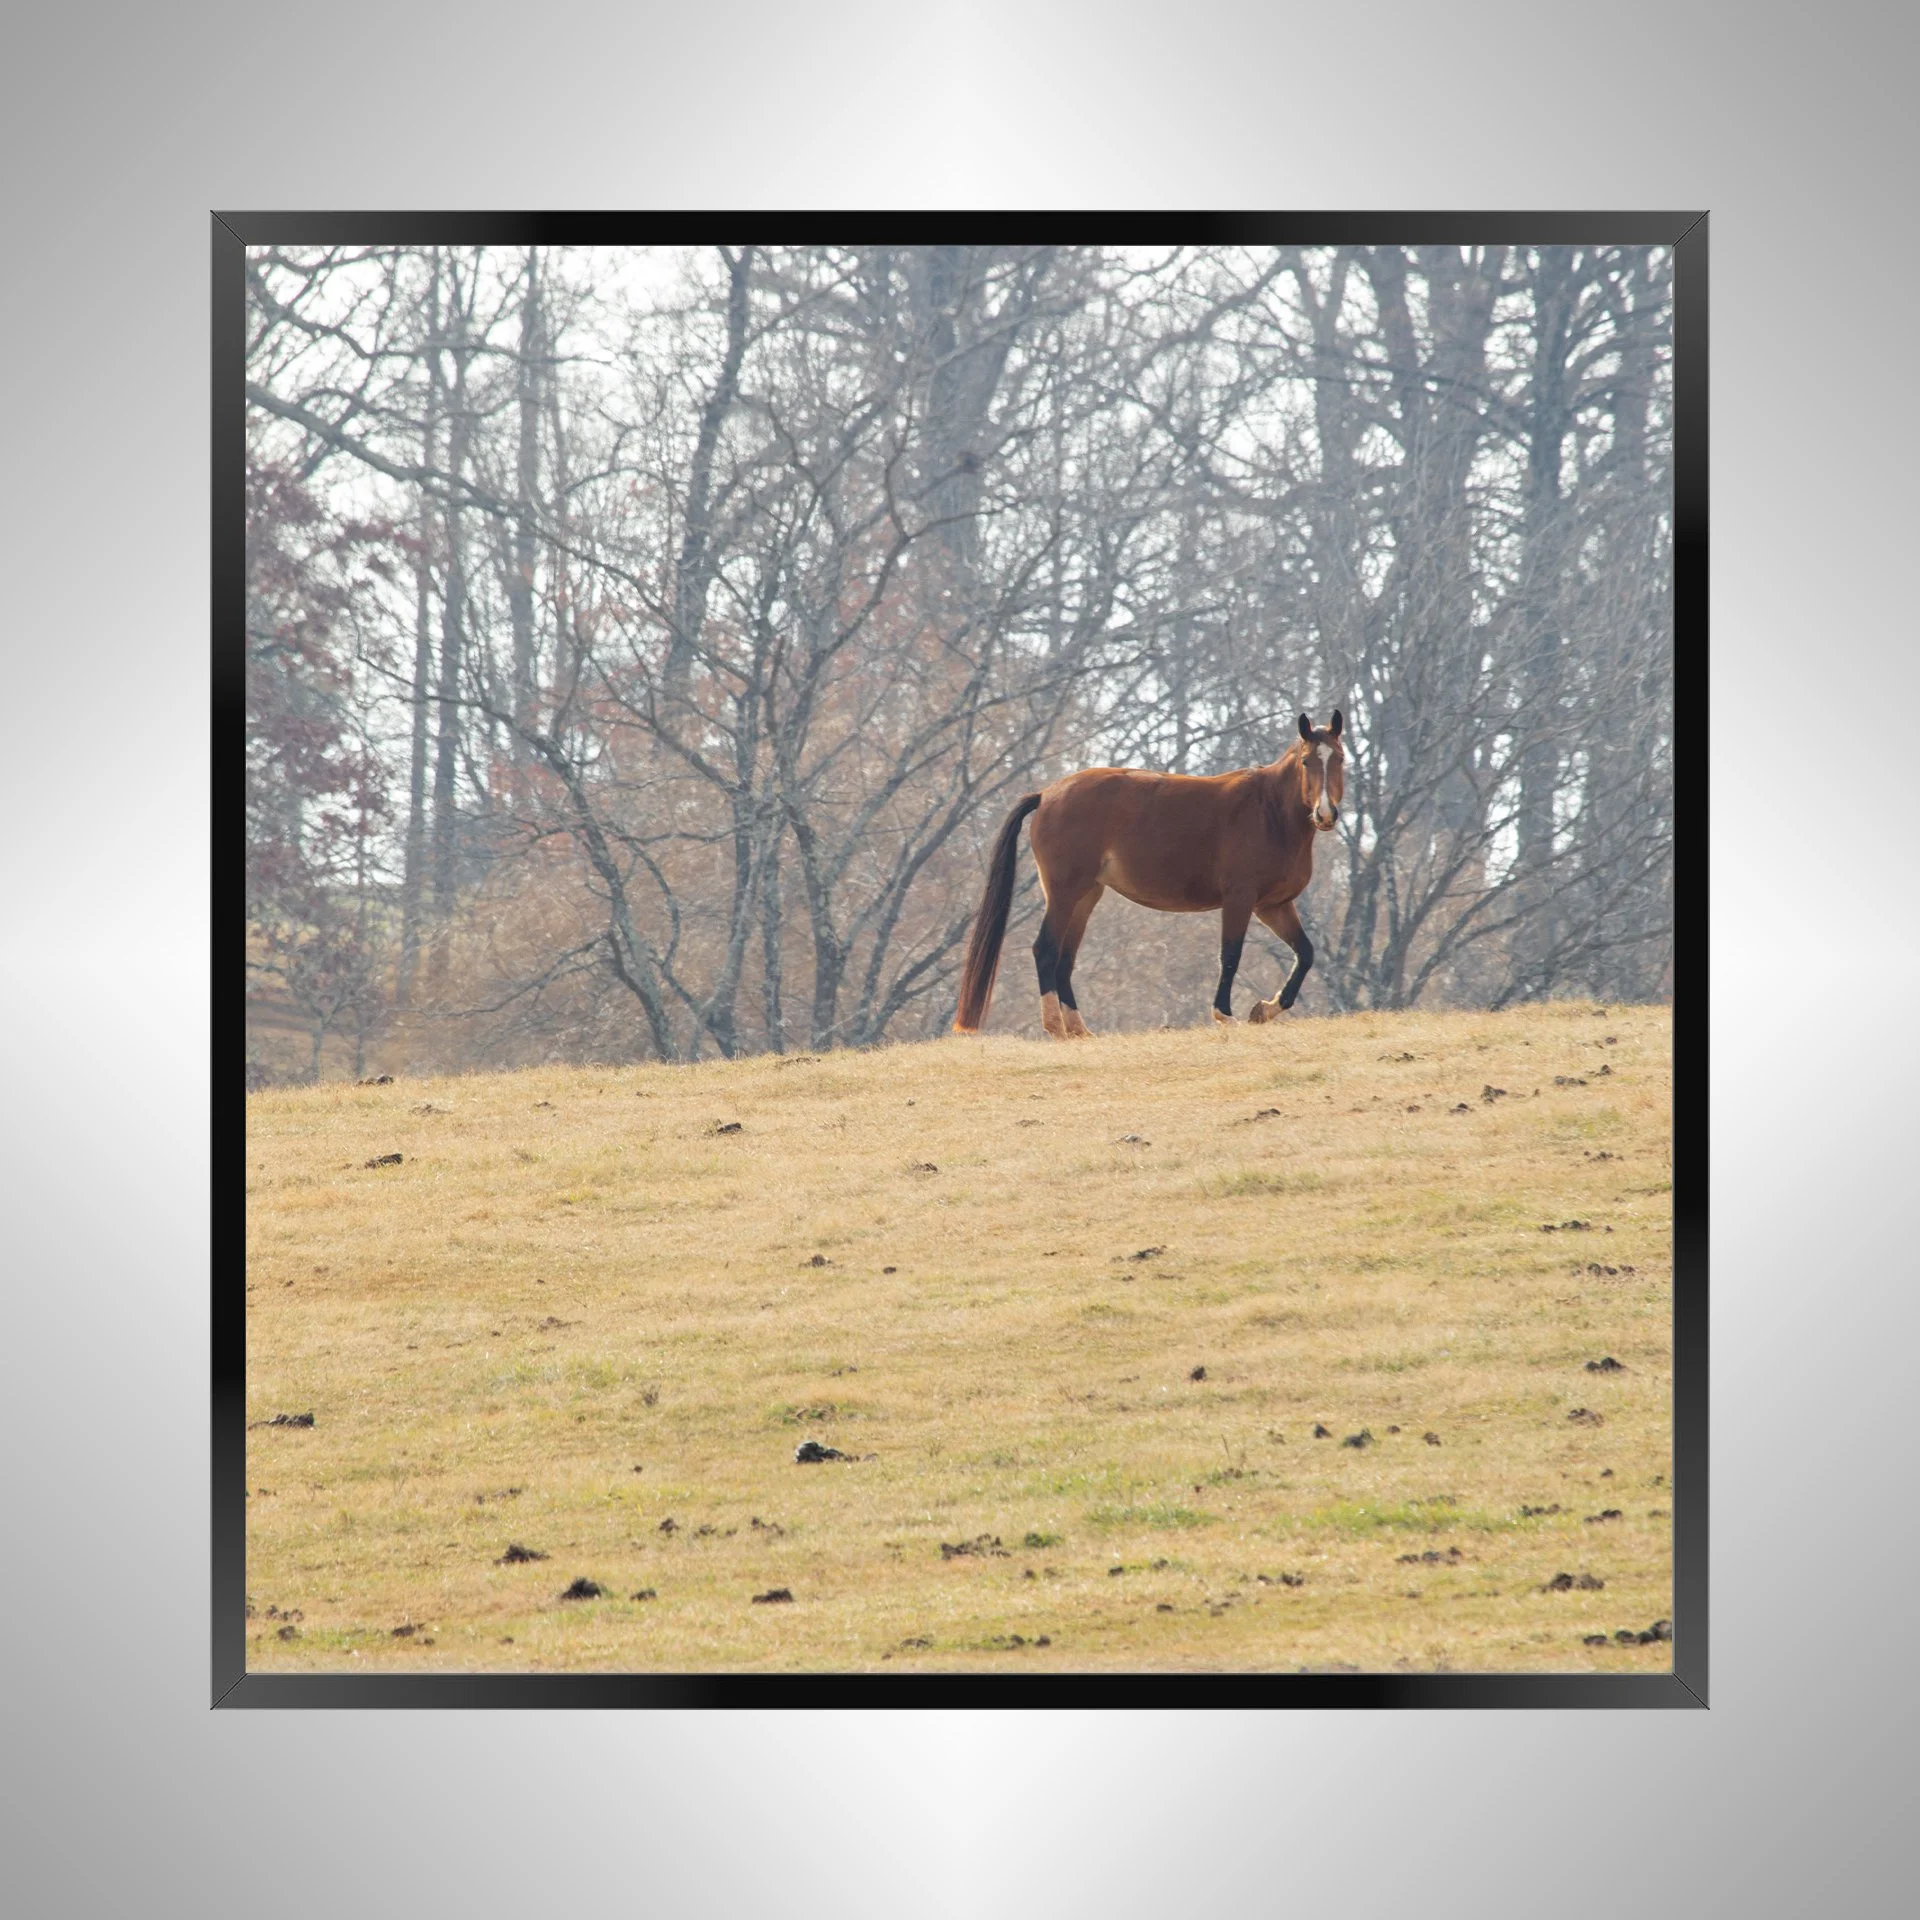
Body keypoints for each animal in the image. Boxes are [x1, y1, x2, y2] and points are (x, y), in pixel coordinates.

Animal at [952, 712, 1345, 1038]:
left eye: (1339, 759)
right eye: (1307, 761)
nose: (1325, 814)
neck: (1269, 812)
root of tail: (1047, 794)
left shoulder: (1273, 905)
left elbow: (1305, 954)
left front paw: (1264, 1009)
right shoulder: (1240, 900)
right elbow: (1230, 955)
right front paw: (1225, 1015)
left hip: (1085, 896)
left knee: (1065, 957)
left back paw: (1079, 1029)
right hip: (1064, 893)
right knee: (1045, 950)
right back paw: (1056, 1028)